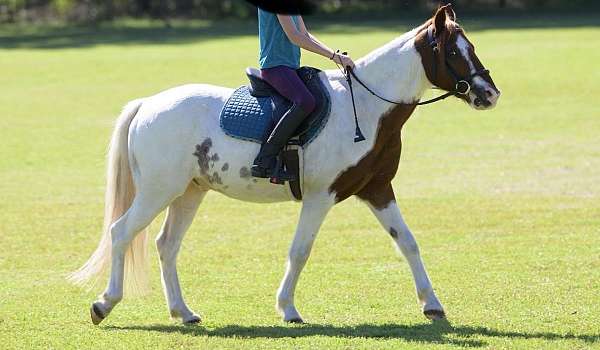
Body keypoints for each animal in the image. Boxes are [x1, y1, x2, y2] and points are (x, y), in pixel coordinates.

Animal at [70, 5, 502, 324]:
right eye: (453, 52)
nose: (490, 94)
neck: (366, 106)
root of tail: (148, 103)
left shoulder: (377, 189)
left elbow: (408, 242)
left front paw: (432, 305)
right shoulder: (321, 196)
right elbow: (300, 250)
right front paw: (288, 309)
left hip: (189, 192)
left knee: (167, 244)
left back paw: (183, 312)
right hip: (158, 191)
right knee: (121, 232)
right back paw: (104, 304)